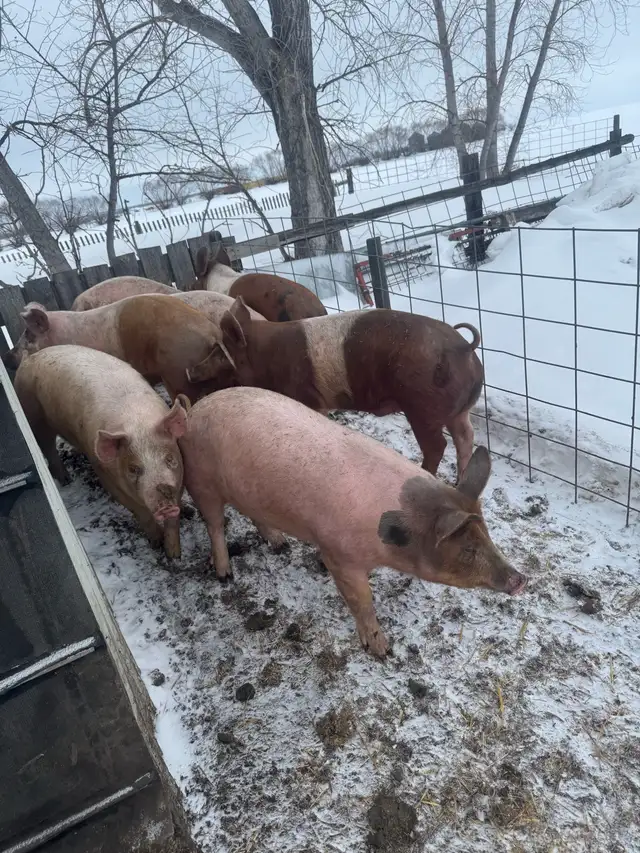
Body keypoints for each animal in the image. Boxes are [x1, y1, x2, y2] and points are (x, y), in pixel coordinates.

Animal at [15, 345, 188, 557]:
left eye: (170, 458)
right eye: (133, 468)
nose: (163, 490)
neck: (137, 423)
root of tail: (29, 358)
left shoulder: (179, 479)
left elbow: (174, 518)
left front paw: (174, 555)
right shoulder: (107, 477)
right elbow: (141, 513)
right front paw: (156, 544)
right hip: (34, 417)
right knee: (47, 448)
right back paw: (66, 480)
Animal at [179, 387, 527, 657]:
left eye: (487, 534)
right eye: (467, 549)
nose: (521, 579)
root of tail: (195, 409)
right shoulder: (339, 554)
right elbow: (362, 601)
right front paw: (383, 651)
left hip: (249, 490)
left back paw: (280, 545)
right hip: (200, 479)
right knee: (214, 524)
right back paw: (225, 575)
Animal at [187, 296, 484, 478]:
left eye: (219, 353)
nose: (191, 371)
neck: (265, 358)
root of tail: (464, 348)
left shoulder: (307, 396)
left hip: (422, 407)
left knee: (438, 445)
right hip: (460, 409)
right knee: (465, 437)